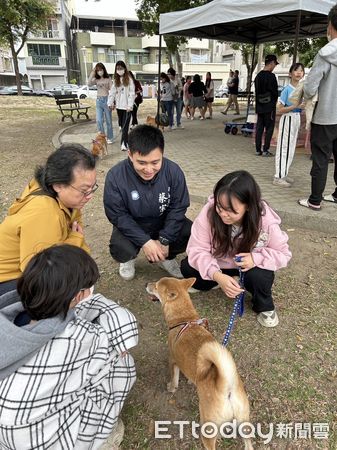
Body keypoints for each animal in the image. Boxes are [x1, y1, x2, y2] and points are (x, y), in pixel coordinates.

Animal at [146, 278, 253, 450]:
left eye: (155, 286)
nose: (146, 285)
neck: (184, 319)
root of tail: (226, 388)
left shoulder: (173, 360)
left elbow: (174, 380)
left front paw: (171, 388)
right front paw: (190, 381)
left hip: (208, 429)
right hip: (243, 422)